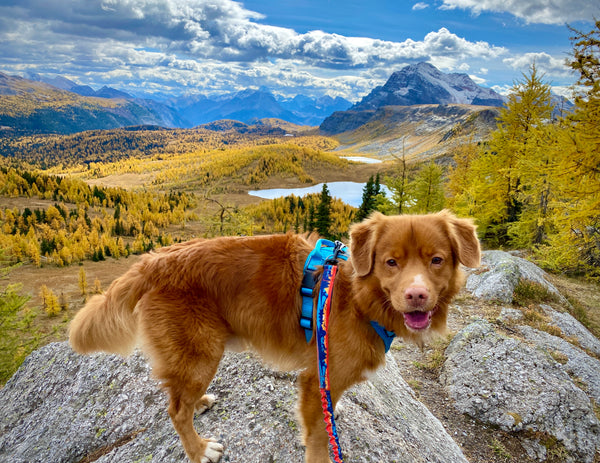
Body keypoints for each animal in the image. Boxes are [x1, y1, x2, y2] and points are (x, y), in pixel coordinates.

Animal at [69, 212, 478, 462]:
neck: (357, 296)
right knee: (175, 410)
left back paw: (199, 401)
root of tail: (151, 261)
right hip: (202, 351)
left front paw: (336, 407)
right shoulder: (314, 380)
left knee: (179, 395)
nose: (416, 295)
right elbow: (319, 439)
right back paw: (199, 449)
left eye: (436, 260)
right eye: (391, 262)